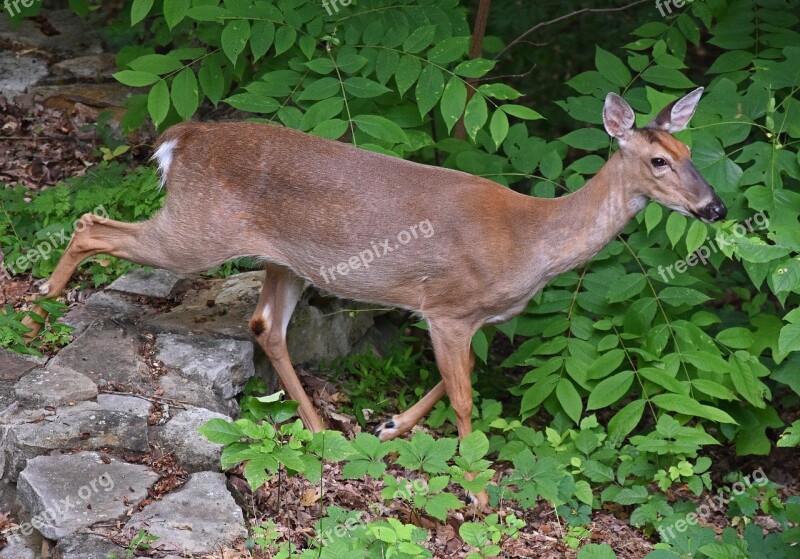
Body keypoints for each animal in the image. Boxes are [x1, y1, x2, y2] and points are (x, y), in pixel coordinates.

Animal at [25, 87, 724, 508]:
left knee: (264, 325)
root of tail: (183, 140)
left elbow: (455, 382)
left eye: (691, 149)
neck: (529, 243)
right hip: (195, 232)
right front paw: (476, 492)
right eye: (658, 161)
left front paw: (390, 426)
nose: (714, 207)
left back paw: (318, 428)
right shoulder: (447, 308)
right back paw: (43, 297)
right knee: (91, 223)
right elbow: (466, 400)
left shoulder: (473, 318)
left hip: (283, 258)